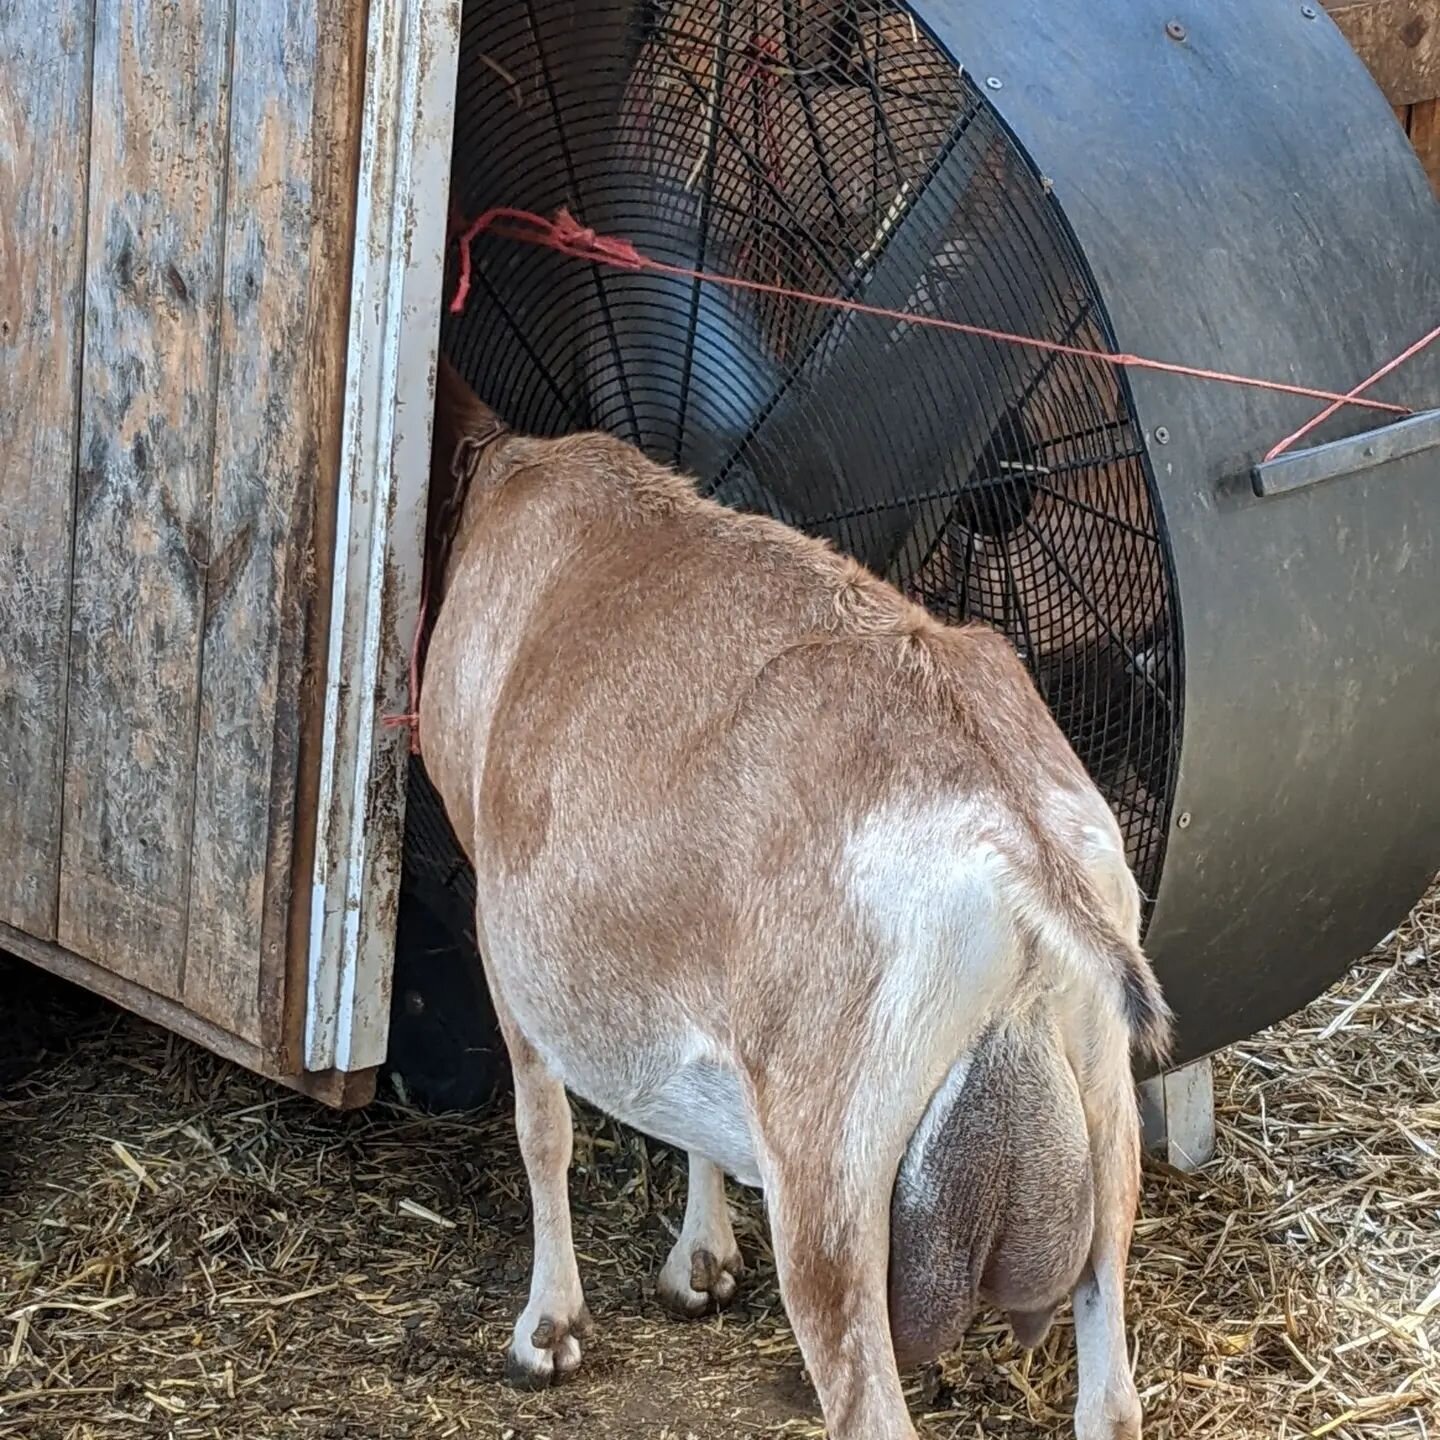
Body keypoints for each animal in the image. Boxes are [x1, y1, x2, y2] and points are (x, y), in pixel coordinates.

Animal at [417, 354, 1169, 1434]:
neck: (506, 482)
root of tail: (1016, 831)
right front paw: (701, 1266)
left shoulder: (492, 906)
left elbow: (542, 1123)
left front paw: (546, 1331)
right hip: (1105, 1115)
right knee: (1110, 1403)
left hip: (831, 1182)